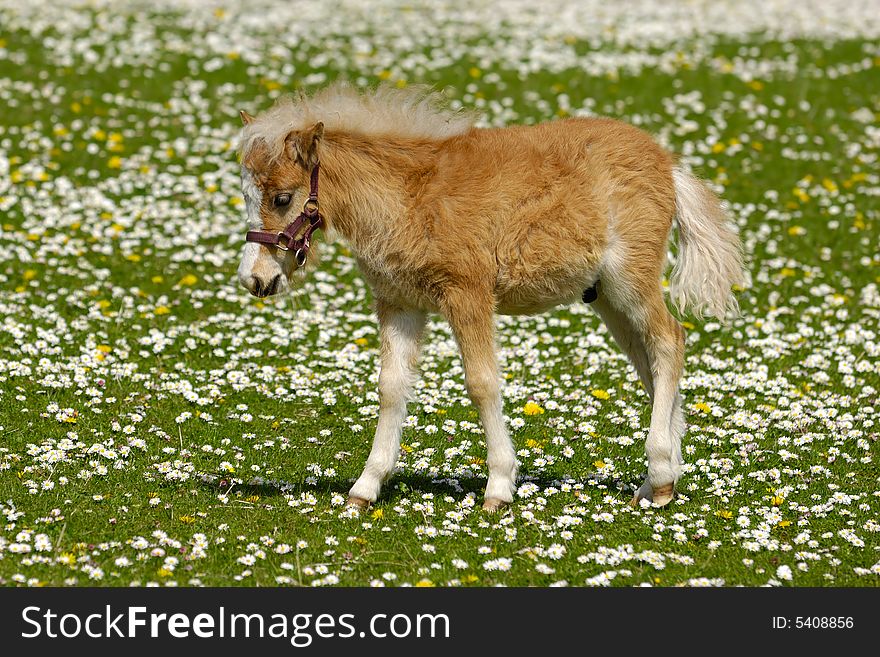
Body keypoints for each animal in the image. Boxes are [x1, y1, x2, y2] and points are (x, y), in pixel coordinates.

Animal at [237, 84, 744, 510]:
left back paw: (660, 473)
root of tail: (668, 164)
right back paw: (660, 480)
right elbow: (391, 387)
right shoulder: (399, 303)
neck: (407, 196)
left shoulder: (469, 294)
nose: (255, 280)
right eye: (246, 196)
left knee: (669, 341)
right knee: (650, 361)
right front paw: (366, 487)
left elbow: (482, 382)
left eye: (282, 198)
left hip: (630, 280)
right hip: (606, 297)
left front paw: (499, 485)